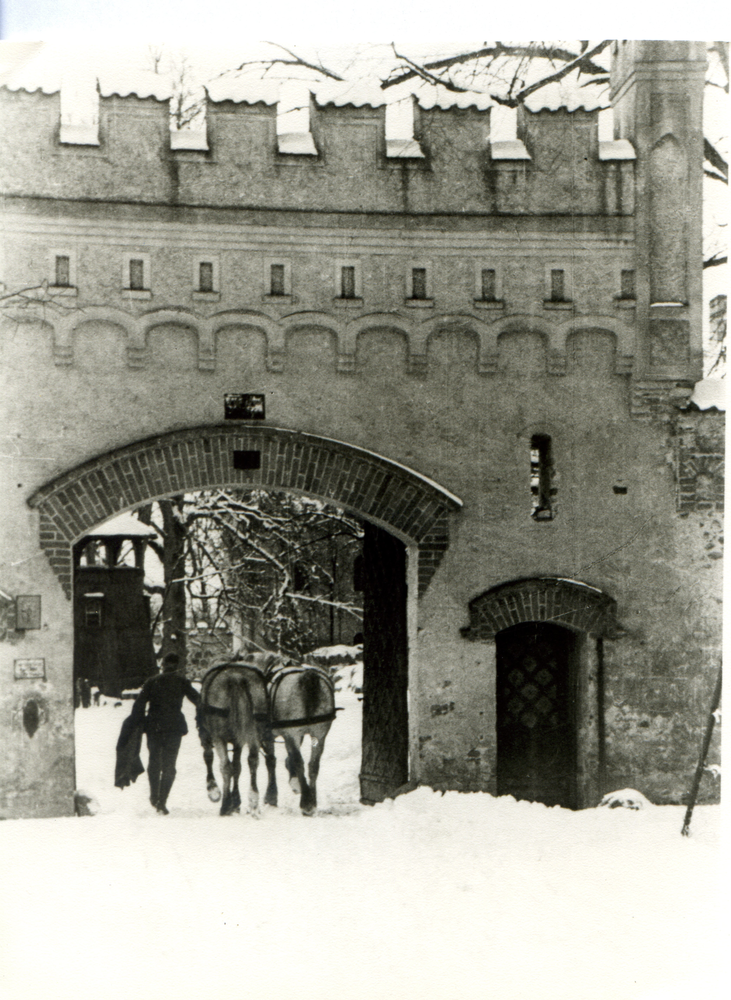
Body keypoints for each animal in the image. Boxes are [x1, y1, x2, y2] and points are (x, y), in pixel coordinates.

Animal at [197, 660, 278, 816]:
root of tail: (237, 678)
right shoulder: (238, 741)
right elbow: (237, 767)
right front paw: (236, 802)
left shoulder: (209, 736)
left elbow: (209, 757)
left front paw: (214, 791)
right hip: (254, 730)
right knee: (253, 761)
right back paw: (253, 801)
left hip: (219, 736)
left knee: (225, 767)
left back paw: (225, 805)